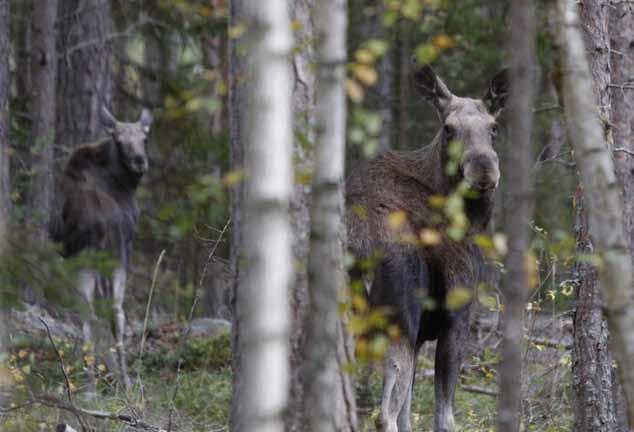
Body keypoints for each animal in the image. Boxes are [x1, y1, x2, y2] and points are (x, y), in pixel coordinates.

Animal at [50, 105, 152, 392]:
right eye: (120, 140)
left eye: (145, 138)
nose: (140, 161)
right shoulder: (123, 248)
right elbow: (115, 313)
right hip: (105, 257)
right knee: (115, 312)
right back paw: (121, 380)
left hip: (77, 259)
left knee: (87, 315)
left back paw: (90, 385)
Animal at [344, 62, 506, 430]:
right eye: (449, 129)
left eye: (493, 127)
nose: (484, 172)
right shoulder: (456, 319)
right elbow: (443, 417)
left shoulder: (421, 337)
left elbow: (409, 416)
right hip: (396, 323)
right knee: (384, 415)